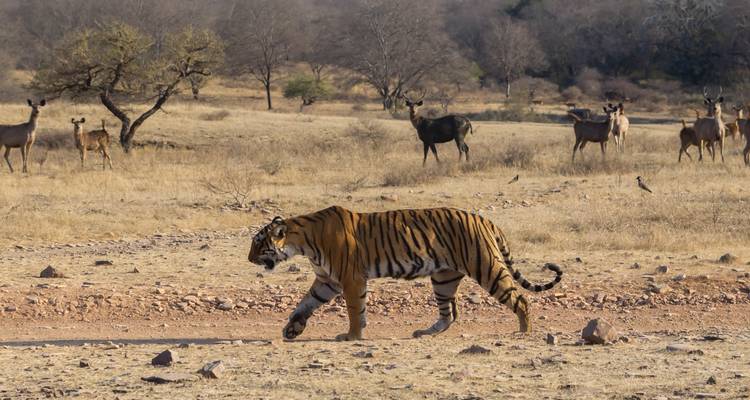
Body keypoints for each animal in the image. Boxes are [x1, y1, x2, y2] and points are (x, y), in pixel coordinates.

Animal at [247, 206, 563, 341]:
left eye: (258, 243)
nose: (248, 259)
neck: (303, 240)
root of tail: (485, 219)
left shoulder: (350, 278)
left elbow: (354, 309)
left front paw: (352, 335)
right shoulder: (327, 280)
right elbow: (305, 304)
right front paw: (293, 328)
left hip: (486, 267)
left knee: (520, 299)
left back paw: (524, 331)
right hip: (444, 277)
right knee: (449, 314)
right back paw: (425, 332)